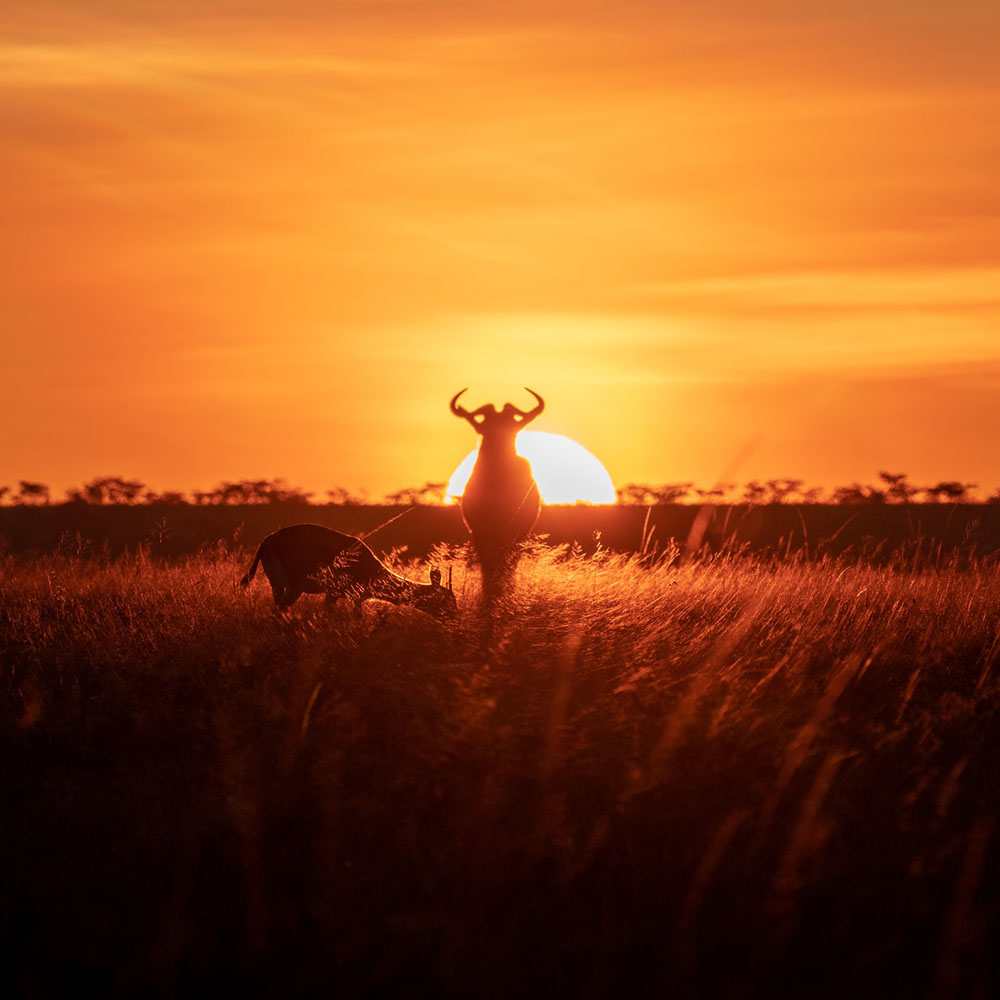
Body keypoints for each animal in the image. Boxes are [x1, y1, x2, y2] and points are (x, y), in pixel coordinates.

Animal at [240, 524, 458, 616]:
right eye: (448, 600)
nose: (455, 618)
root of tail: (269, 539)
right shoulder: (350, 596)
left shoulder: (336, 595)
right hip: (295, 587)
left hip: (277, 586)